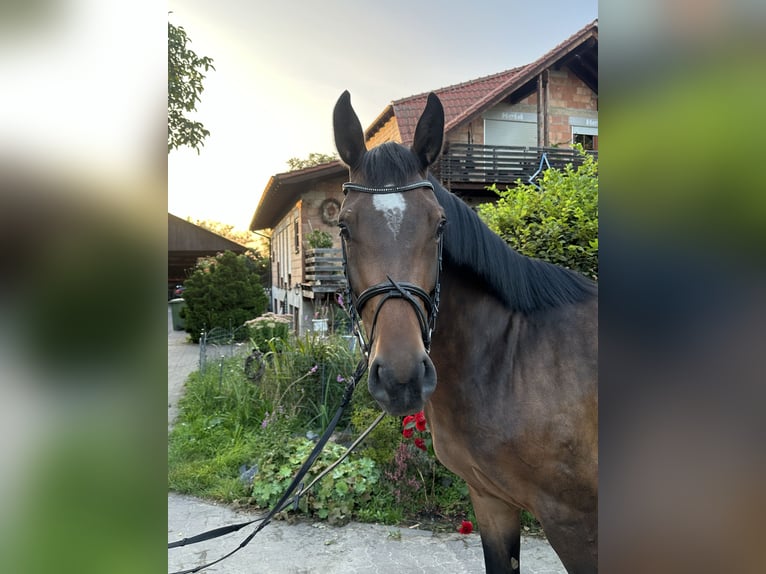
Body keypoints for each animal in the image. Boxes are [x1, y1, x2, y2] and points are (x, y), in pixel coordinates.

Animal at [336, 92, 600, 572]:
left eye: (439, 224)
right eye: (344, 226)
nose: (402, 377)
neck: (508, 360)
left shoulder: (576, 523)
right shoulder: (491, 502)